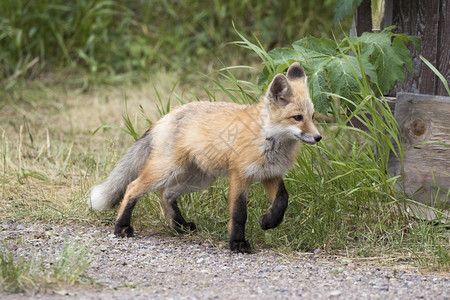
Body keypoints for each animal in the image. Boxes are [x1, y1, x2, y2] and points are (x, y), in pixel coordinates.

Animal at [87, 62, 320, 253]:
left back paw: (180, 227)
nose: (318, 137)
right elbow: (239, 214)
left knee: (166, 194)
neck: (268, 140)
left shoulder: (270, 174)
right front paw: (237, 243)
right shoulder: (240, 175)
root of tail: (164, 118)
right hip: (167, 170)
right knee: (132, 188)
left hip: (199, 179)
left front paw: (269, 222)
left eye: (312, 116)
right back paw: (122, 227)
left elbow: (282, 199)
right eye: (297, 118)